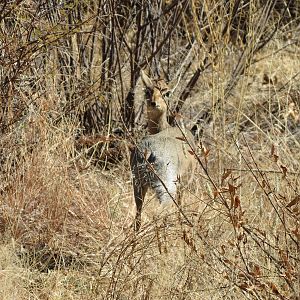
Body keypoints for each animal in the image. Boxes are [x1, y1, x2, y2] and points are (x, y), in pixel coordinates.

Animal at [129, 71, 196, 231]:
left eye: (166, 92)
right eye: (148, 91)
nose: (153, 103)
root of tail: (146, 151)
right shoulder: (184, 183)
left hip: (138, 184)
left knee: (138, 215)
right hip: (166, 187)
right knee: (157, 213)